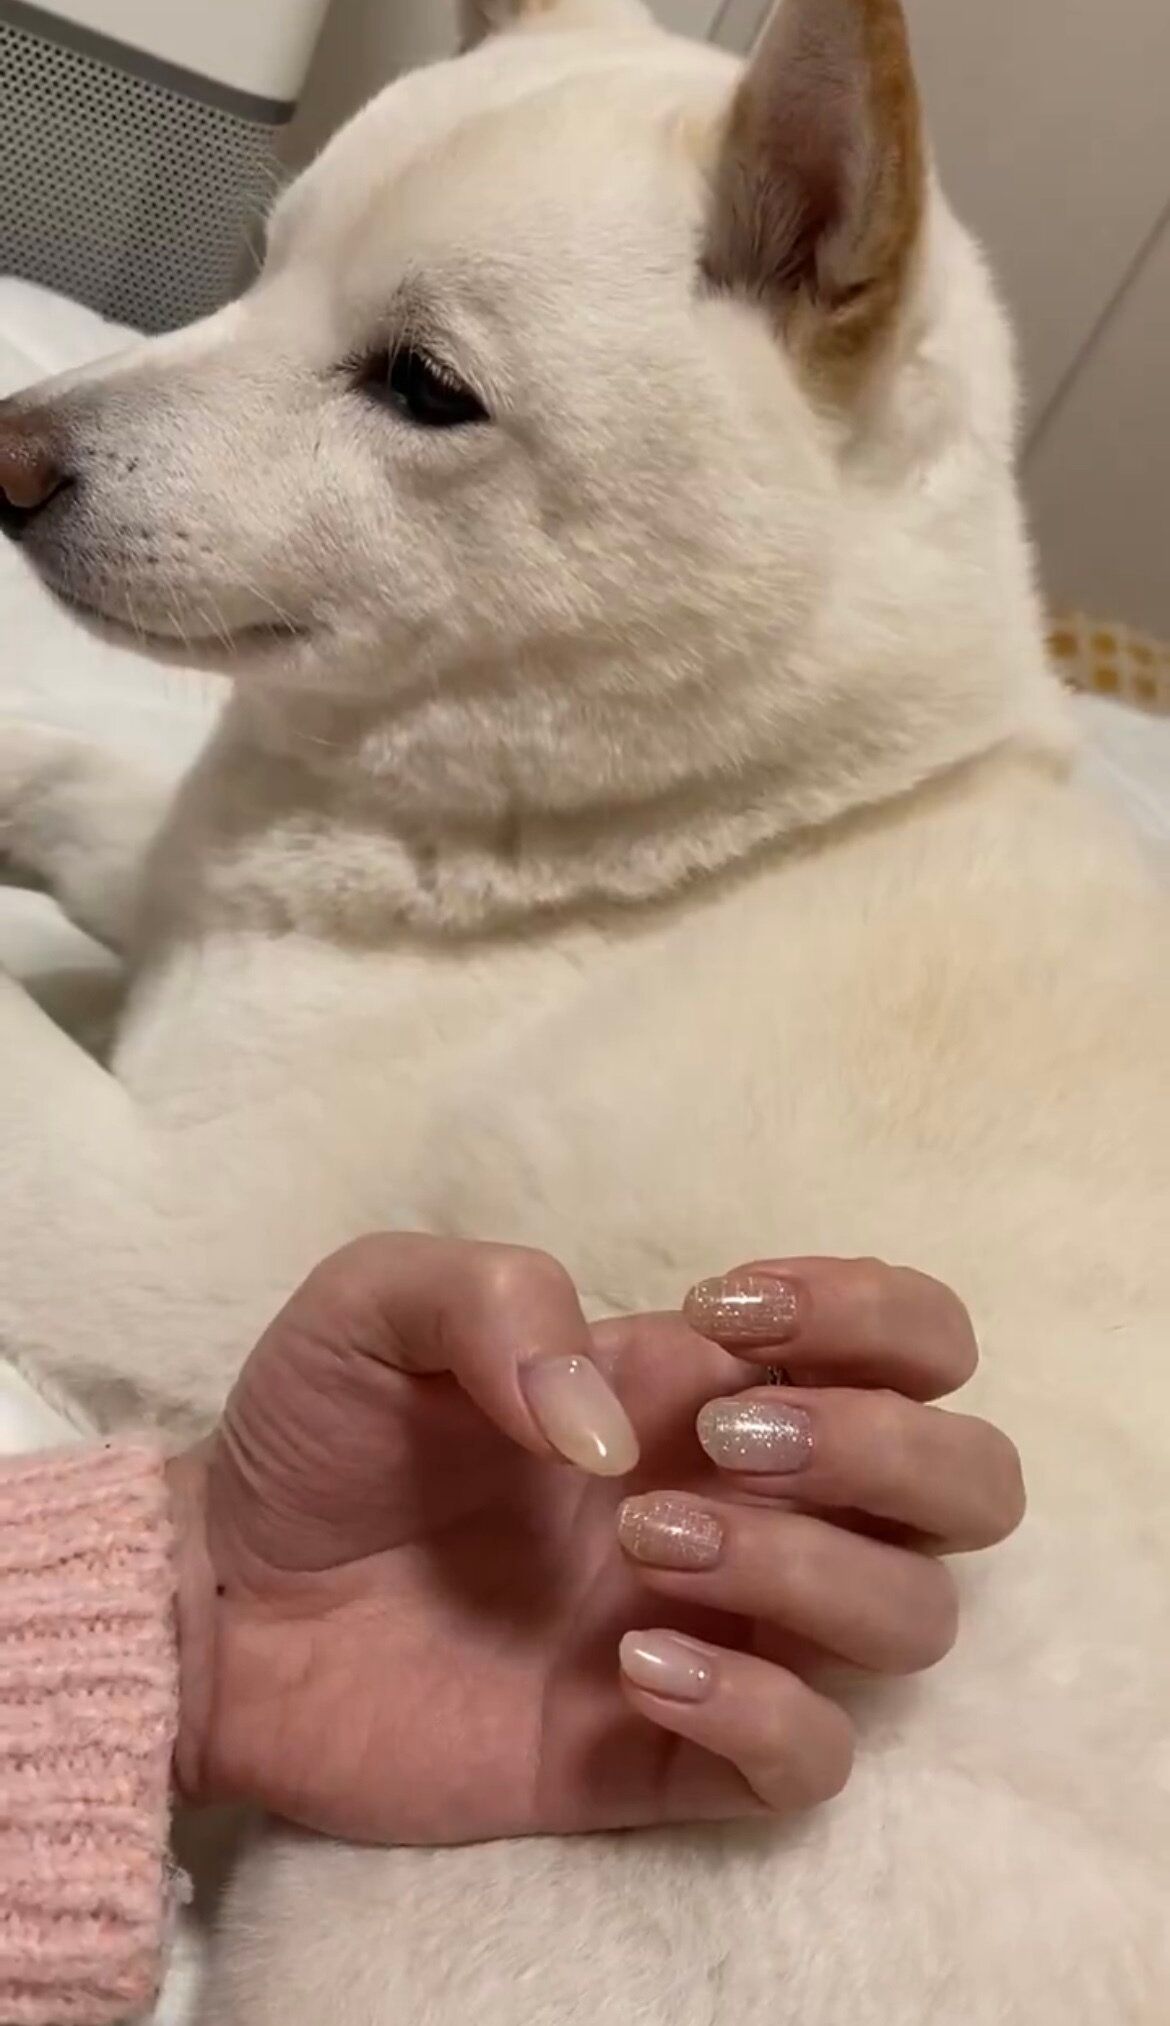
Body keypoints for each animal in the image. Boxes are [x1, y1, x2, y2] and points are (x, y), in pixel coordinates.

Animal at [1, 2, 1168, 2020]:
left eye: (423, 387)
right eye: (253, 266)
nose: (6, 453)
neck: (724, 817)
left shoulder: (175, 1238)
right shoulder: (185, 876)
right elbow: (77, 786)